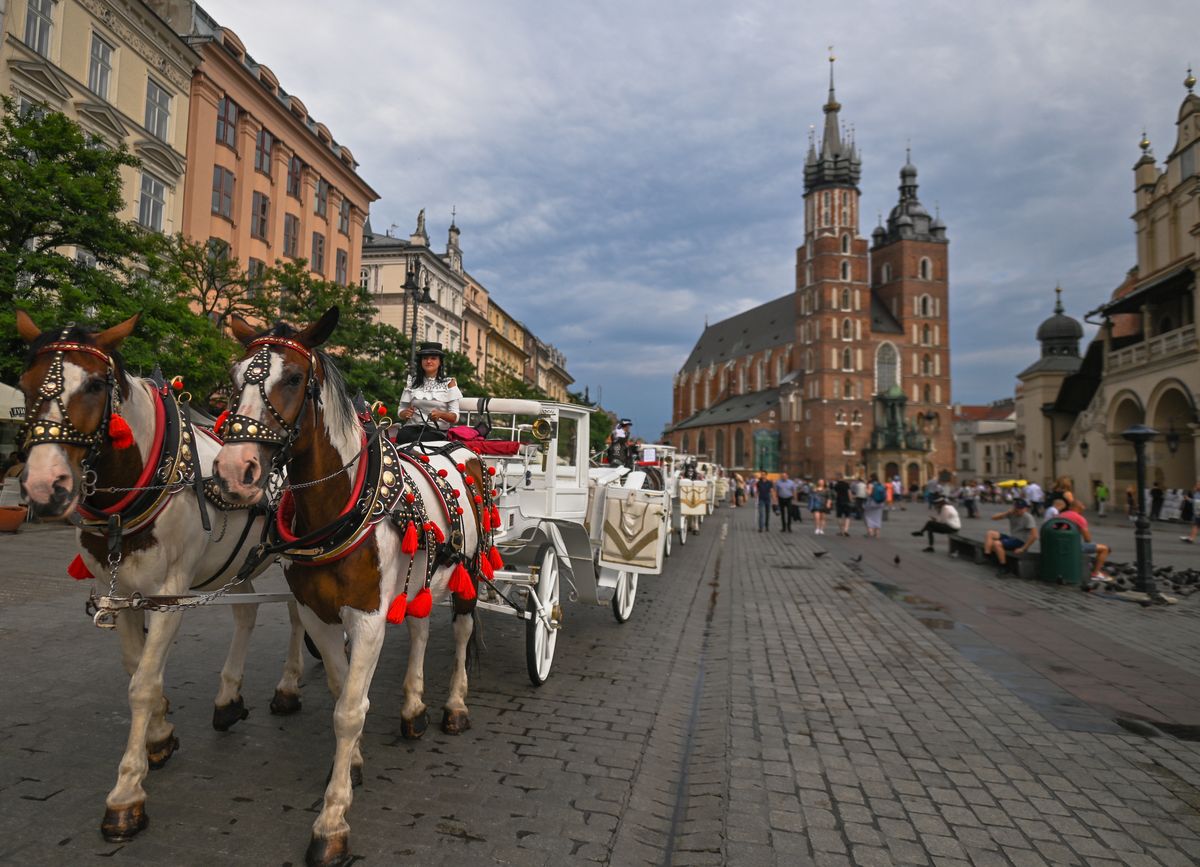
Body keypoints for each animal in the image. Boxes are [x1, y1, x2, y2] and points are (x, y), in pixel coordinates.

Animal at [16, 309, 307, 835]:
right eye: (26, 385)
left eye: (94, 385)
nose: (45, 487)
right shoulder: (118, 591)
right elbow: (137, 668)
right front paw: (159, 734)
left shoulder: (170, 594)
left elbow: (143, 684)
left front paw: (127, 791)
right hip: (238, 561)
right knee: (248, 613)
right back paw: (228, 698)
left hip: (296, 558)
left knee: (298, 615)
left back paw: (288, 686)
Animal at [212, 307, 487, 859]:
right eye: (234, 377)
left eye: (293, 379)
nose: (235, 470)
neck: (339, 507)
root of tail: (447, 444)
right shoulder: (317, 615)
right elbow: (342, 691)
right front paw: (353, 763)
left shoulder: (367, 618)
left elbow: (349, 712)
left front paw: (332, 822)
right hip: (421, 579)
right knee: (421, 630)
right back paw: (413, 709)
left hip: (467, 573)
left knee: (462, 633)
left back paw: (454, 706)